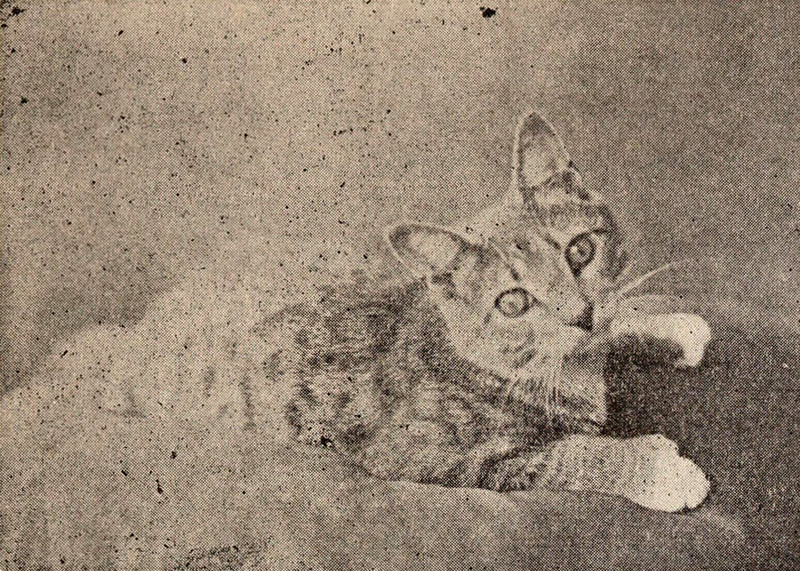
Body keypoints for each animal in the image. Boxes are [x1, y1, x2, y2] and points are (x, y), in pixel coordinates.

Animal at [254, 110, 713, 513]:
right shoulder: (430, 456)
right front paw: (654, 467)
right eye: (513, 302)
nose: (581, 314)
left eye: (580, 250)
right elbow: (566, 454)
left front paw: (669, 329)